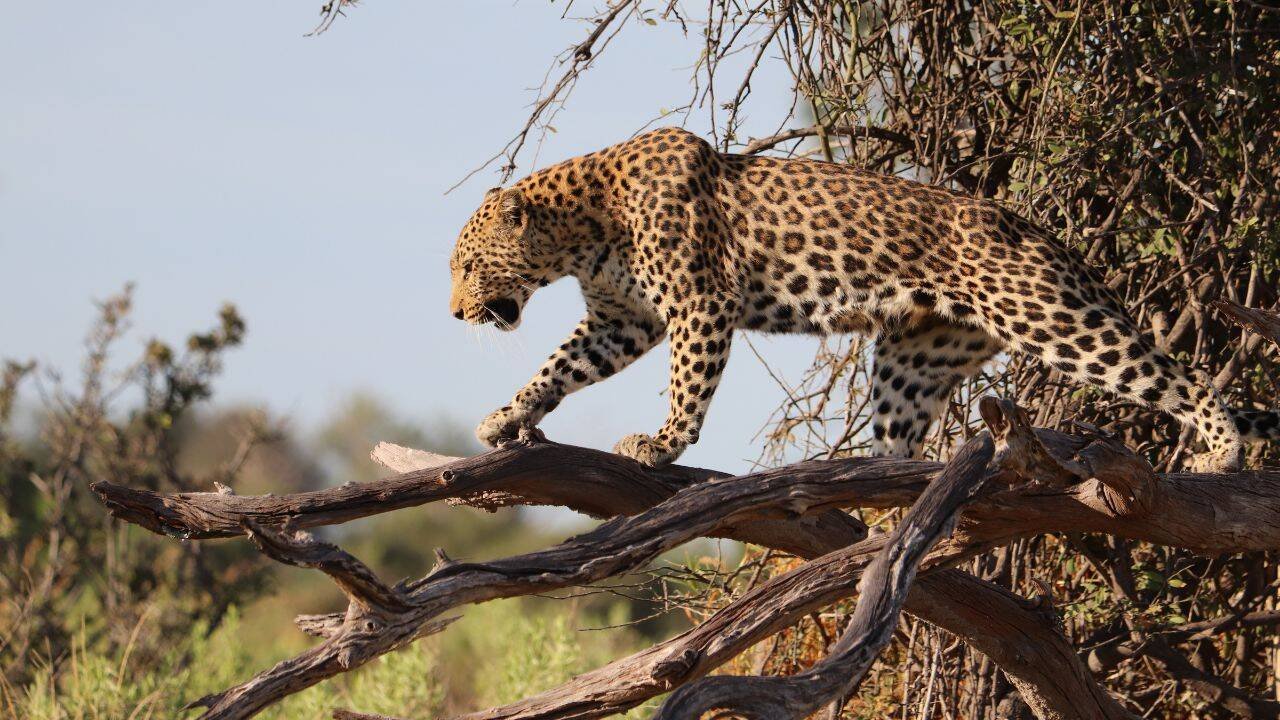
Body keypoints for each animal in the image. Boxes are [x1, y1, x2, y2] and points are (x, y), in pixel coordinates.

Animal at [448, 127, 1278, 473]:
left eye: (465, 265)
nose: (454, 315)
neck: (582, 228)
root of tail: (1040, 232)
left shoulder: (699, 303)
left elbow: (687, 383)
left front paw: (663, 442)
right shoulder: (623, 320)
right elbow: (559, 367)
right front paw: (507, 415)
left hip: (1051, 318)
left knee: (1173, 376)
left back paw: (1221, 448)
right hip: (919, 354)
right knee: (902, 436)